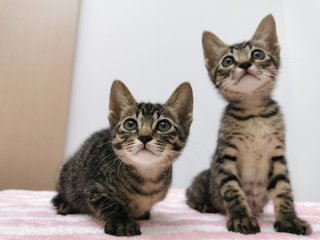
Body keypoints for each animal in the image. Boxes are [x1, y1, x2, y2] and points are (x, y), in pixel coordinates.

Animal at [52, 80, 192, 236]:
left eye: (163, 125)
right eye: (130, 124)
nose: (144, 136)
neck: (147, 177)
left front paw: (140, 214)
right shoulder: (94, 188)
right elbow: (109, 204)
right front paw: (121, 222)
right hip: (65, 174)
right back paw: (64, 204)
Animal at [186, 15, 312, 236]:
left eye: (257, 54)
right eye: (228, 61)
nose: (245, 64)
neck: (254, 113)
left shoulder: (277, 155)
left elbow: (283, 189)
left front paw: (289, 220)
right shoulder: (225, 156)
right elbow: (232, 190)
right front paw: (241, 219)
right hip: (202, 181)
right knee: (192, 196)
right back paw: (205, 205)